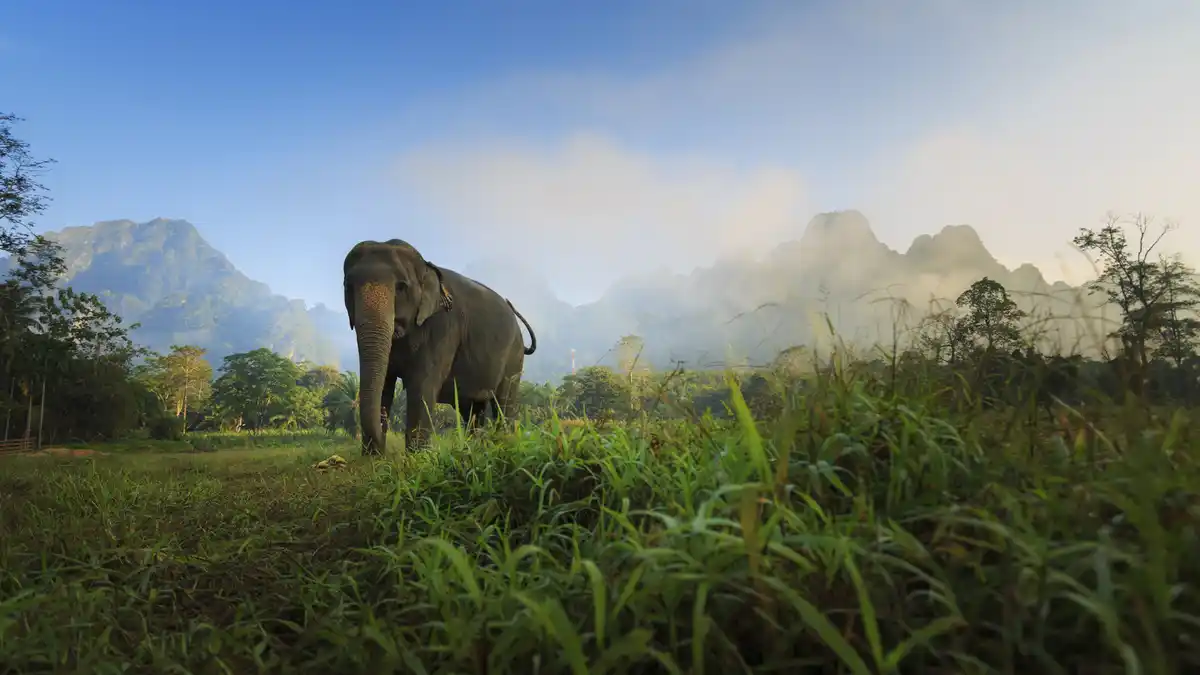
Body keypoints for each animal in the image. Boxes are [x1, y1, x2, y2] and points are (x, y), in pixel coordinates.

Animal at [343, 239, 537, 455]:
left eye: (401, 287)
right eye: (348, 287)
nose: (382, 451)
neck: (426, 268)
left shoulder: (444, 329)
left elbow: (422, 385)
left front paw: (416, 459)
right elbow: (385, 382)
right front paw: (372, 459)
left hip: (514, 357)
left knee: (504, 403)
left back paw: (505, 443)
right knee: (473, 410)